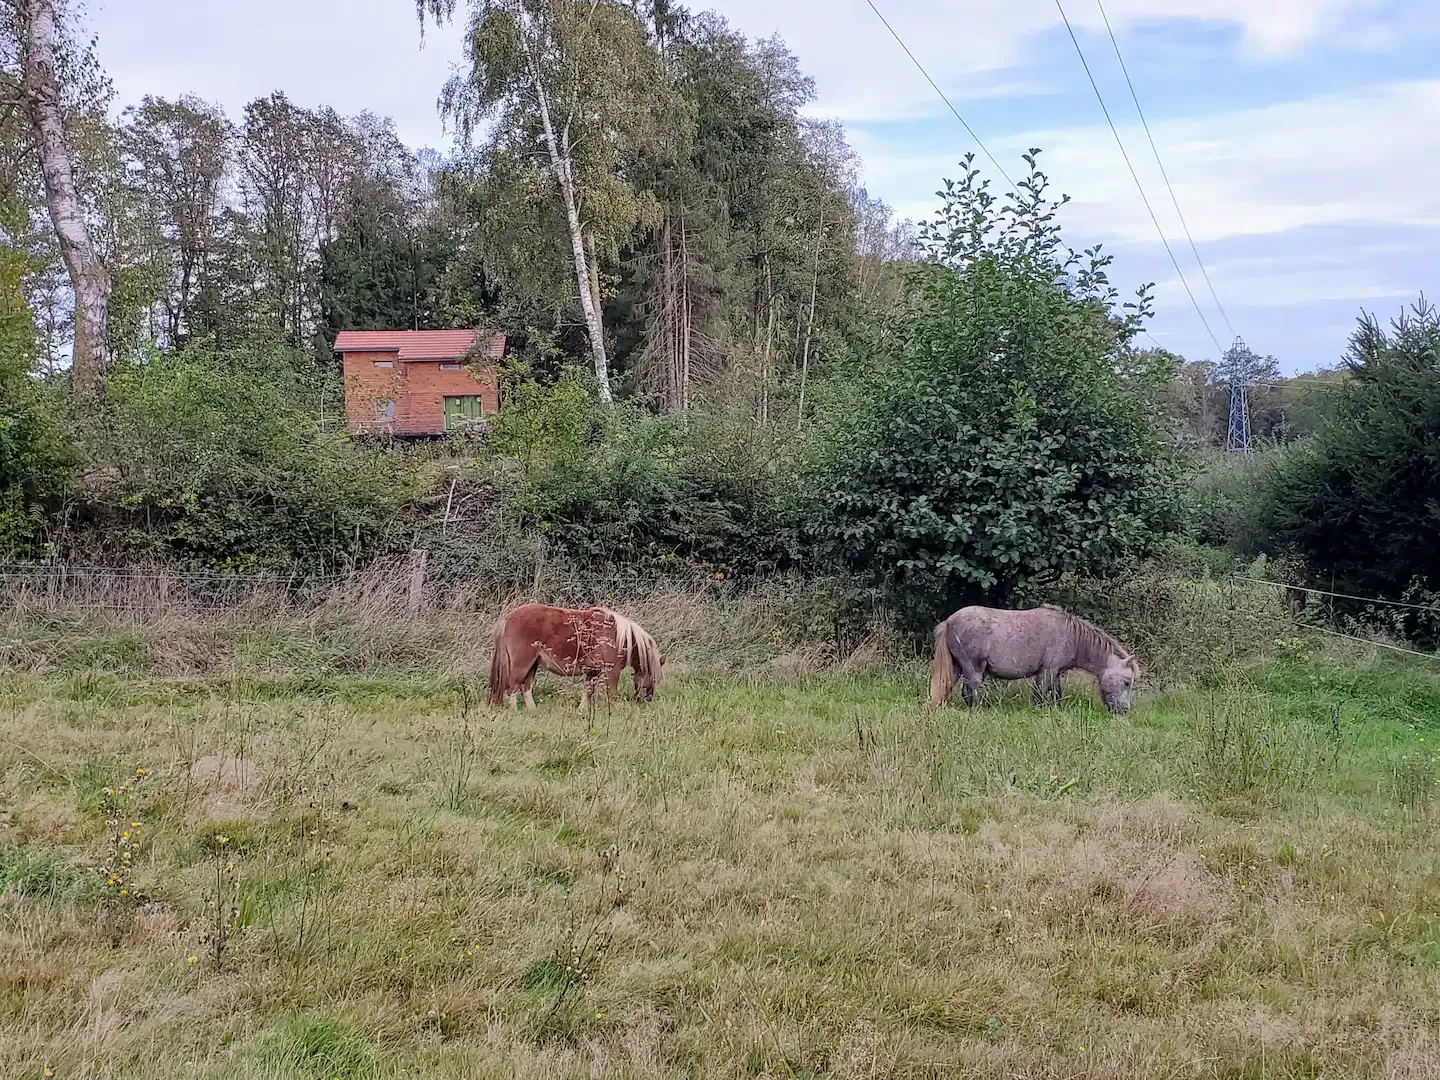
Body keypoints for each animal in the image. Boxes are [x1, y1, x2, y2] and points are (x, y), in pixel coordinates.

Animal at [487, 603, 665, 711]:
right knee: (513, 686)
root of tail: (508, 618)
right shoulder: (611, 671)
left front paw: (582, 710)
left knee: (526, 687)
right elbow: (613, 694)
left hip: (533, 664)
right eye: (653, 679)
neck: (617, 636)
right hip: (522, 663)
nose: (647, 700)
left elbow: (588, 691)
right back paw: (514, 710)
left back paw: (533, 711)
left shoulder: (593, 671)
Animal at [929, 604, 1139, 713]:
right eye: (1127, 682)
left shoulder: (1056, 673)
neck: (1072, 636)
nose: (1124, 711)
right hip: (972, 669)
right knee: (970, 692)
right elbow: (1039, 696)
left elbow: (1056, 694)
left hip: (957, 667)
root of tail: (948, 622)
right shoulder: (1047, 671)